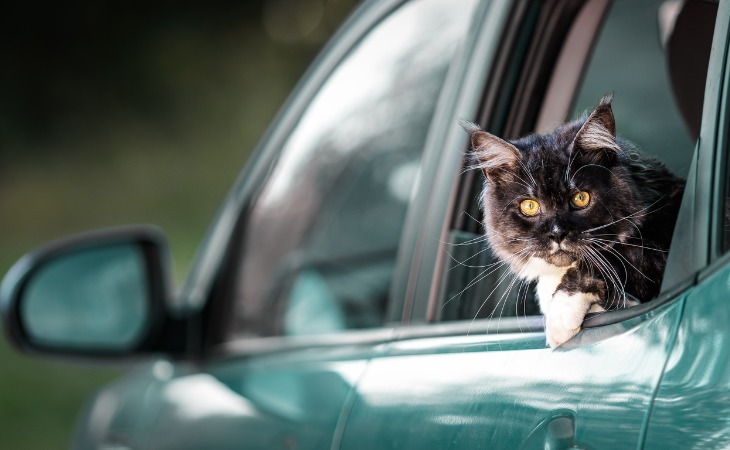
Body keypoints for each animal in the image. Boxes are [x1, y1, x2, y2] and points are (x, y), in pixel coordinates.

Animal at [464, 96, 684, 348]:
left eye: (580, 198)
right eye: (529, 206)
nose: (557, 233)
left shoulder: (654, 249)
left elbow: (601, 262)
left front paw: (559, 319)